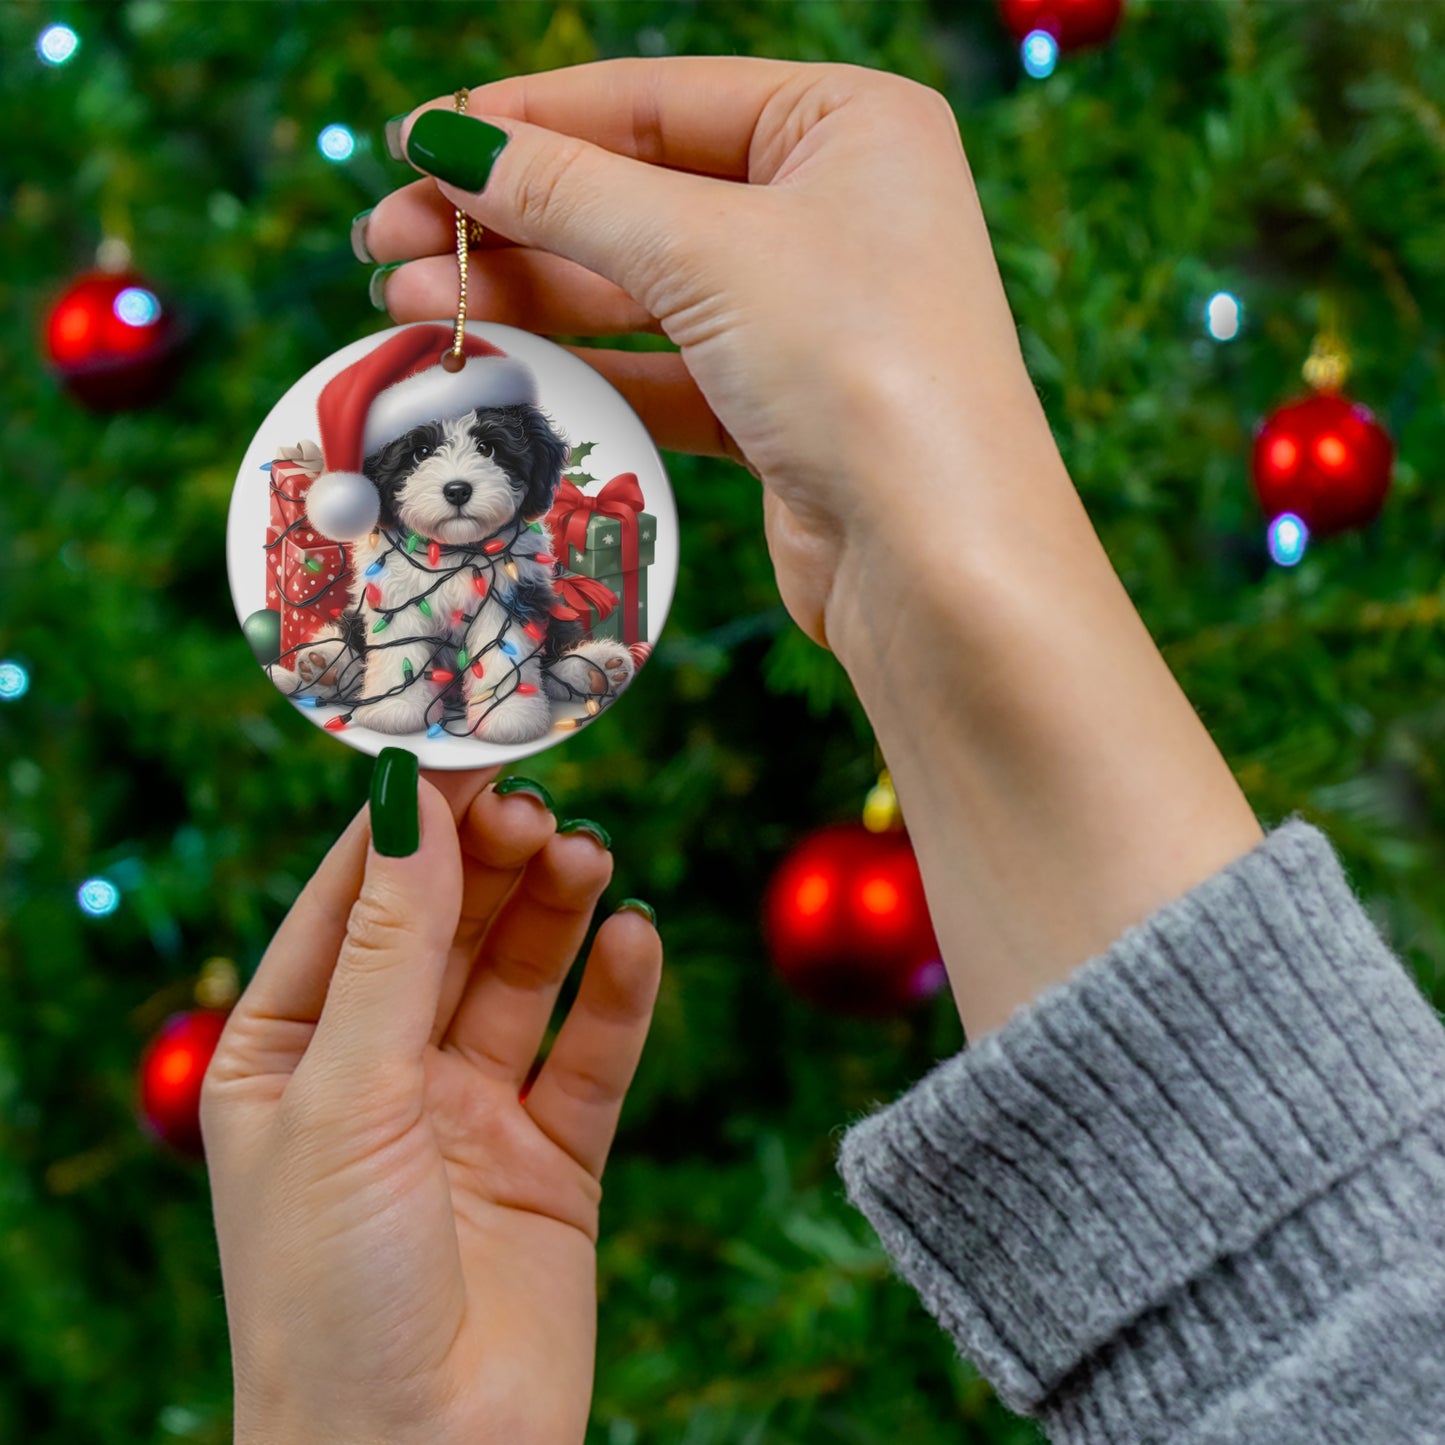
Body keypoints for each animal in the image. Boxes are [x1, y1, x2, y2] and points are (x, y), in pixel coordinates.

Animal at [281, 407, 632, 745]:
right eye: (421, 452)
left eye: (487, 448)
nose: (458, 491)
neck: (455, 550)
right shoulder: (397, 595)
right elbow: (400, 651)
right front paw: (396, 710)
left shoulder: (510, 595)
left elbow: (504, 654)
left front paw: (508, 716)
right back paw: (322, 665)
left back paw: (599, 669)